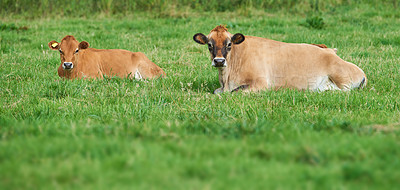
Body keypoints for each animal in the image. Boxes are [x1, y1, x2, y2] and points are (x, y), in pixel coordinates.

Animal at [193, 25, 366, 93]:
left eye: (229, 44)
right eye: (209, 44)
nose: (219, 61)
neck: (227, 78)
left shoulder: (261, 83)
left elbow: (233, 92)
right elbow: (217, 92)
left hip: (342, 78)